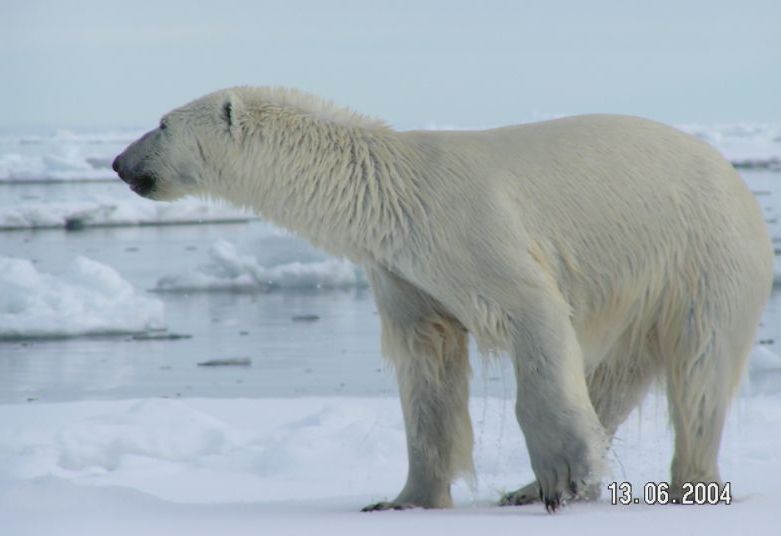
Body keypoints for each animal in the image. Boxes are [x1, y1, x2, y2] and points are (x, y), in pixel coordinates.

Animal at [111, 87, 772, 510]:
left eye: (162, 123)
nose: (118, 161)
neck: (390, 193)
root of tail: (738, 184)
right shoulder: (405, 270)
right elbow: (427, 368)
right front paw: (403, 500)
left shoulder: (473, 230)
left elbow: (534, 315)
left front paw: (562, 478)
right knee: (615, 376)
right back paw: (526, 488)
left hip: (703, 259)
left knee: (701, 374)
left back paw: (688, 486)